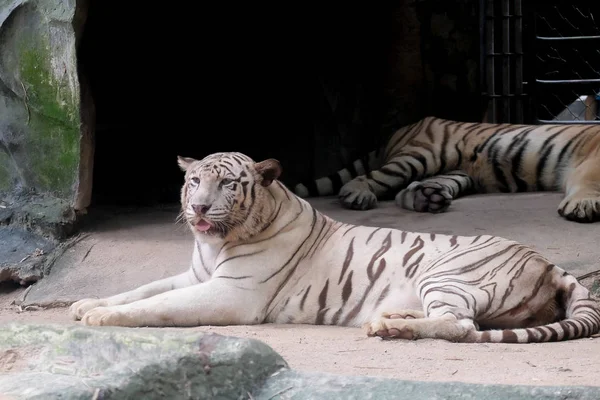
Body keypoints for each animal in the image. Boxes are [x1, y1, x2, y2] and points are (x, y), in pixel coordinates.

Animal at [69, 152, 600, 342]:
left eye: (227, 185)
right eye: (194, 181)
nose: (198, 208)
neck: (217, 245)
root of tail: (549, 262)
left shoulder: (231, 292)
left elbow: (158, 305)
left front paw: (101, 317)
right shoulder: (196, 275)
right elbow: (143, 289)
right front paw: (86, 302)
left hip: (448, 272)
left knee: (461, 325)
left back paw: (391, 327)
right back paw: (393, 317)